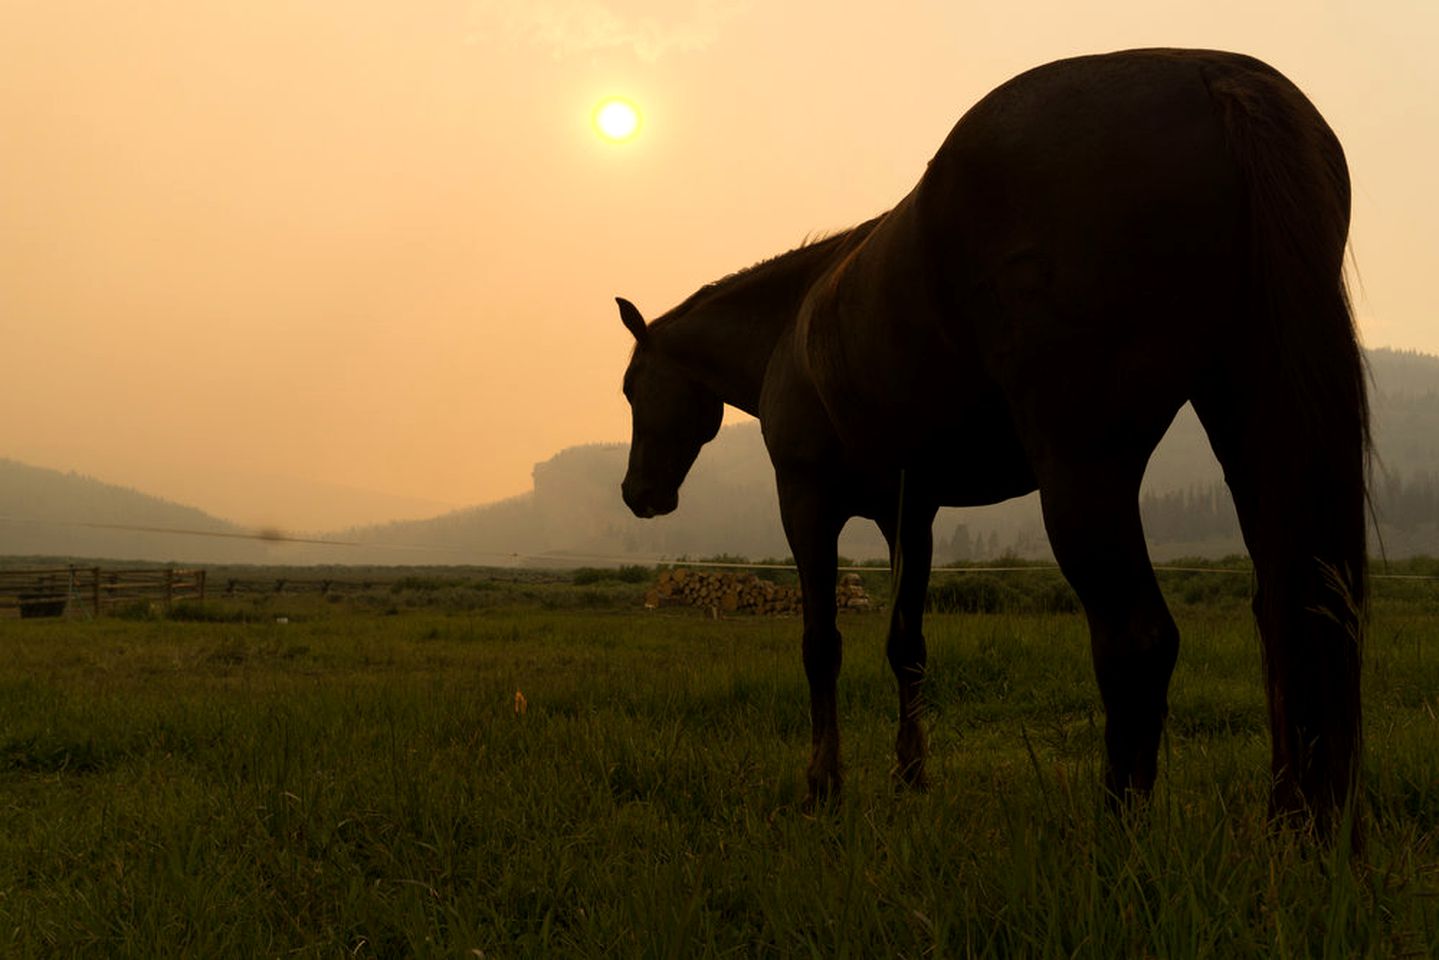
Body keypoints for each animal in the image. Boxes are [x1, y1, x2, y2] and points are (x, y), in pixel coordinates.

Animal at [613, 48, 1364, 834]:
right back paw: (1290, 823)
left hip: (1085, 472)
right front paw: (910, 776)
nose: (639, 493)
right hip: (1247, 431)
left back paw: (1117, 829)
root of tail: (1211, 76)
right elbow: (905, 646)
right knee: (1290, 617)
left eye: (633, 387)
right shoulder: (910, 517)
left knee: (1139, 639)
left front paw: (823, 785)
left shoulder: (807, 502)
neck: (792, 325)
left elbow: (821, 645)